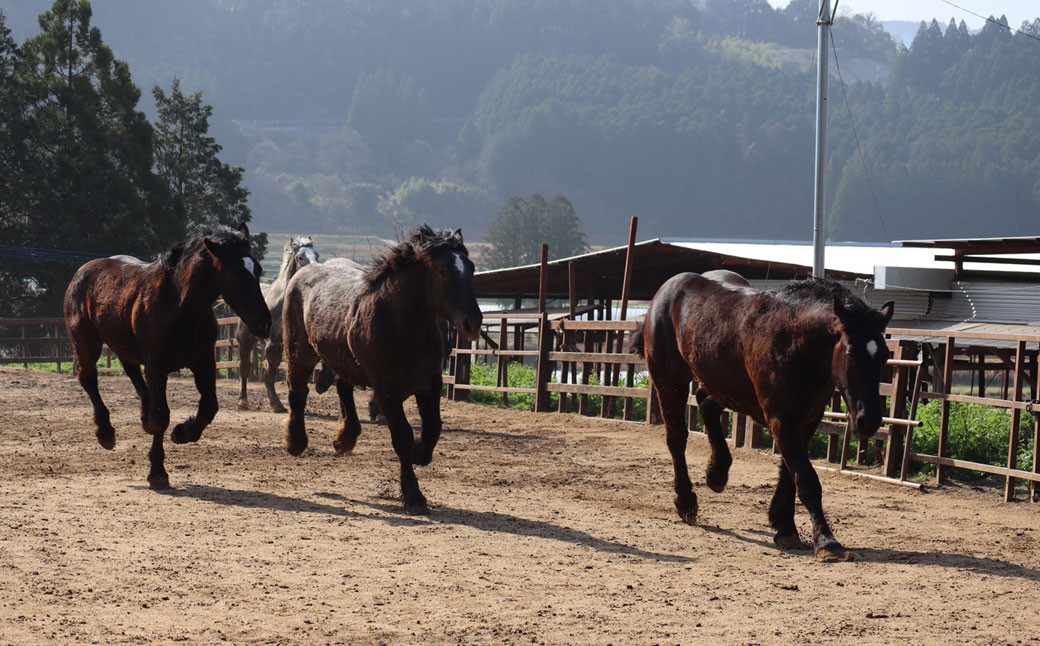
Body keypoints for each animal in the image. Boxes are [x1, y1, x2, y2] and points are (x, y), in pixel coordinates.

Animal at [62, 222, 270, 488]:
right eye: (237, 274)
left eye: (258, 269)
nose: (264, 323)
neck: (180, 306)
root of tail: (83, 271)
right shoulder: (157, 366)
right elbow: (162, 416)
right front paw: (158, 472)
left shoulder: (203, 361)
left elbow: (209, 406)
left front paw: (182, 432)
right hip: (86, 343)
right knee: (89, 379)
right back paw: (105, 433)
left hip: (124, 344)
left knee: (132, 373)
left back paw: (143, 416)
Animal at [238, 234, 318, 409]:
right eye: (300, 257)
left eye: (317, 255)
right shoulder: (273, 341)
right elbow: (271, 370)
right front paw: (276, 403)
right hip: (245, 340)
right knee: (244, 367)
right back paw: (242, 401)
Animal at [280, 224, 482, 511]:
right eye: (443, 271)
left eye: (471, 268)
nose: (472, 322)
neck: (401, 324)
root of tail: (304, 273)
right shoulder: (386, 390)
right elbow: (402, 436)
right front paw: (413, 494)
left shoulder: (429, 382)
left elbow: (433, 426)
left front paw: (420, 454)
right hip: (300, 353)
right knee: (297, 392)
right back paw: (296, 442)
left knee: (343, 387)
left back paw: (344, 438)